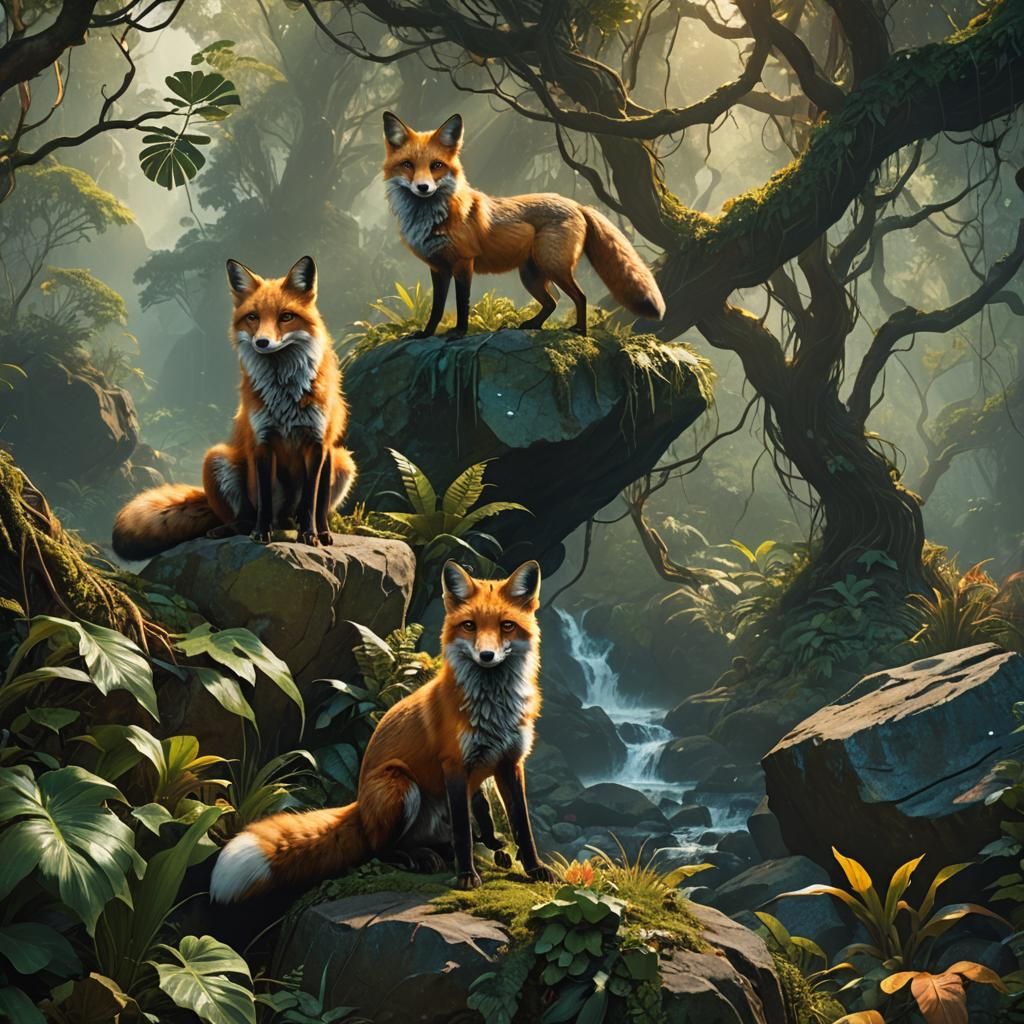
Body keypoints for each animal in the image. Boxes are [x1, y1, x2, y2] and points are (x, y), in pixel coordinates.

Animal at [111, 256, 356, 560]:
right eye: (253, 317)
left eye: (286, 317)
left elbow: (311, 502)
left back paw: (319, 532)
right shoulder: (261, 440)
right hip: (217, 457)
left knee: (310, 510)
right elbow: (263, 498)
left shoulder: (318, 443)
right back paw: (232, 529)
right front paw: (261, 534)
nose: (262, 342)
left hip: (343, 462)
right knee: (245, 517)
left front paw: (310, 536)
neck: (284, 395)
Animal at [209, 559, 558, 901]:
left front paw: (535, 869)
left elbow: (522, 825)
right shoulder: (455, 765)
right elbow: (463, 833)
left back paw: (462, 850)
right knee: (379, 849)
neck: (493, 708)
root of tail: (359, 806)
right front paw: (466, 876)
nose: (486, 655)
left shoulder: (509, 762)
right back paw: (419, 858)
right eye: (469, 625)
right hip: (399, 785)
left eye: (506, 626)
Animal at [382, 111, 666, 339]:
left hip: (553, 267)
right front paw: (426, 334)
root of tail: (576, 204)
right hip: (531, 275)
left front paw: (459, 333)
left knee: (580, 297)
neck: (431, 218)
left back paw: (580, 331)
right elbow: (437, 308)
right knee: (553, 303)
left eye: (436, 166)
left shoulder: (464, 262)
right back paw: (534, 325)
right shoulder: (438, 267)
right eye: (407, 165)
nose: (423, 187)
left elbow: (462, 304)